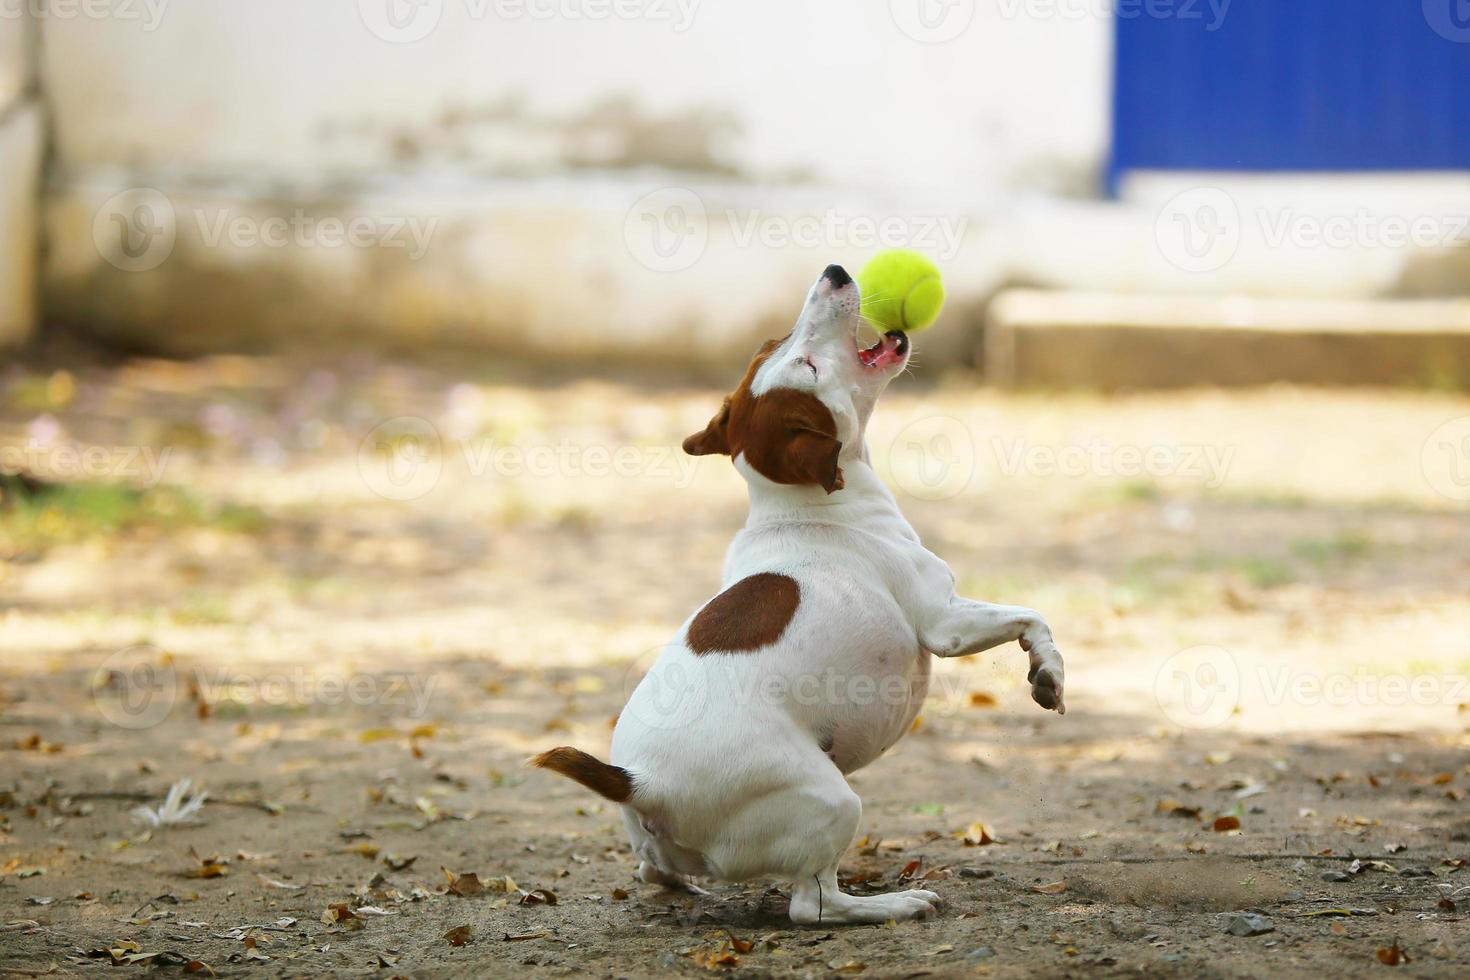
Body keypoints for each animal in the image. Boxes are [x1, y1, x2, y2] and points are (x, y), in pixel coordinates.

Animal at [535, 264, 1064, 922]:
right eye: (806, 364)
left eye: (772, 344)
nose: (835, 272)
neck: (802, 503)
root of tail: (638, 780)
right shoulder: (946, 623)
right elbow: (1034, 618)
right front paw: (1047, 675)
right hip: (833, 802)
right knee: (814, 905)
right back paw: (894, 903)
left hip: (661, 843)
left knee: (651, 870)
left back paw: (680, 884)